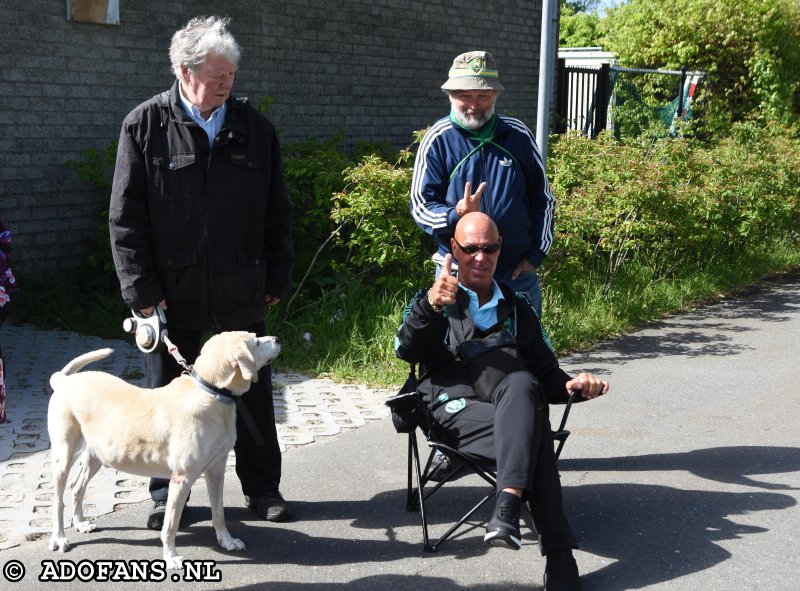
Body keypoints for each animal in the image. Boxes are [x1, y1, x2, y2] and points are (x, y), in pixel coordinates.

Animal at [48, 332, 282, 568]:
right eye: (256, 342)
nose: (277, 338)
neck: (212, 392)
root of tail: (63, 381)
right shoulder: (181, 480)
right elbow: (171, 525)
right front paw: (170, 557)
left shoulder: (216, 470)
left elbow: (219, 512)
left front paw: (227, 541)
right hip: (63, 456)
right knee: (58, 502)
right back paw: (59, 538)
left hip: (97, 455)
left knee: (77, 487)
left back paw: (80, 523)